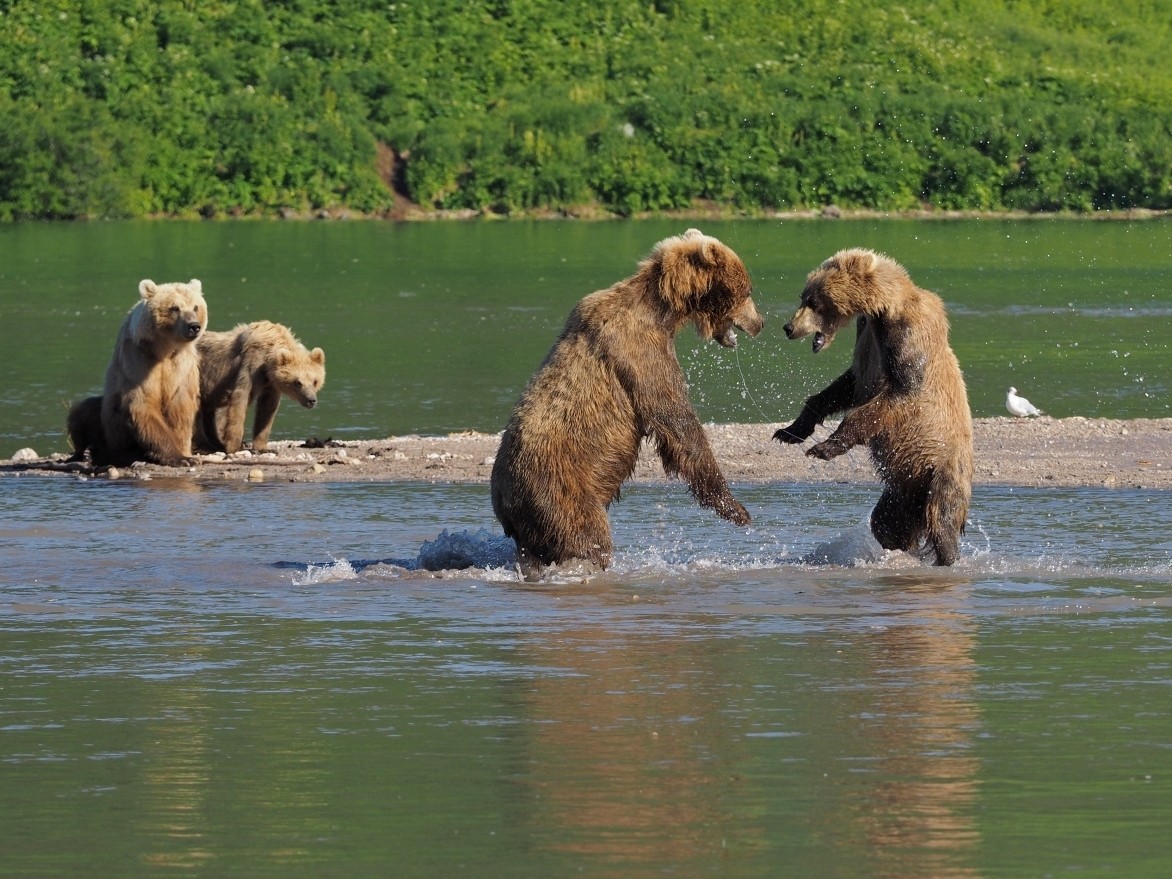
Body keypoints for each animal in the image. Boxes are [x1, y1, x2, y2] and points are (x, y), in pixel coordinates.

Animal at [67, 280, 208, 468]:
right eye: (175, 308)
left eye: (195, 306)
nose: (194, 326)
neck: (164, 349)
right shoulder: (137, 359)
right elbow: (142, 402)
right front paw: (179, 457)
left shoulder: (181, 365)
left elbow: (179, 405)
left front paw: (187, 455)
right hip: (108, 426)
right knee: (83, 412)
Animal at [195, 318, 325, 454]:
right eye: (298, 382)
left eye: (315, 381)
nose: (311, 400)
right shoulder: (251, 364)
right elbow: (241, 396)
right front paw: (234, 446)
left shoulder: (271, 382)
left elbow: (267, 409)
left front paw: (263, 447)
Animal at [489, 227, 764, 574]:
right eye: (747, 290)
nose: (761, 322)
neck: (662, 311)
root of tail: (503, 502)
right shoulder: (640, 350)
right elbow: (676, 419)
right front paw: (736, 509)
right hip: (558, 489)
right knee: (586, 537)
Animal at [778, 248, 970, 567]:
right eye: (803, 296)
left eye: (814, 301)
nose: (789, 327)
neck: (883, 310)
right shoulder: (866, 336)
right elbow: (846, 385)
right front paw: (791, 430)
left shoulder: (908, 336)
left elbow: (895, 397)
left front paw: (824, 447)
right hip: (902, 491)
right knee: (887, 523)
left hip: (943, 472)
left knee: (942, 520)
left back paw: (948, 557)